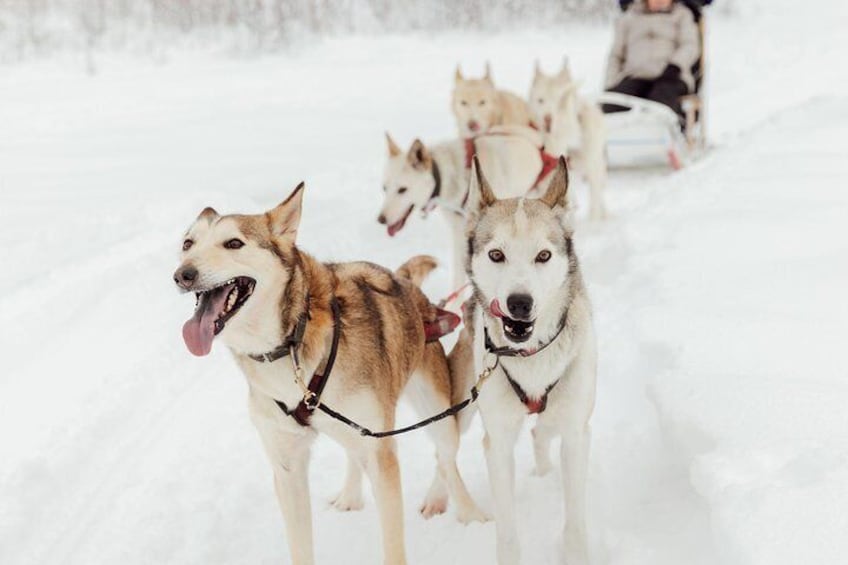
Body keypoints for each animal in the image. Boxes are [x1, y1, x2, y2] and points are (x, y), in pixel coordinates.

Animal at [173, 184, 486, 560]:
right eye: (188, 244)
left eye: (233, 243)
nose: (183, 274)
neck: (291, 343)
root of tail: (405, 282)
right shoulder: (287, 466)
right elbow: (300, 546)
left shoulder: (382, 457)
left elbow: (393, 545)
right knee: (357, 454)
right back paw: (351, 495)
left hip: (436, 414)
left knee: (446, 458)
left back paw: (468, 512)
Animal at [450, 158, 596, 564]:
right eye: (496, 254)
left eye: (543, 255)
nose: (519, 303)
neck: (532, 357)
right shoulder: (497, 442)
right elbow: (508, 534)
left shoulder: (576, 433)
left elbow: (576, 524)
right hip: (465, 405)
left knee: (542, 432)